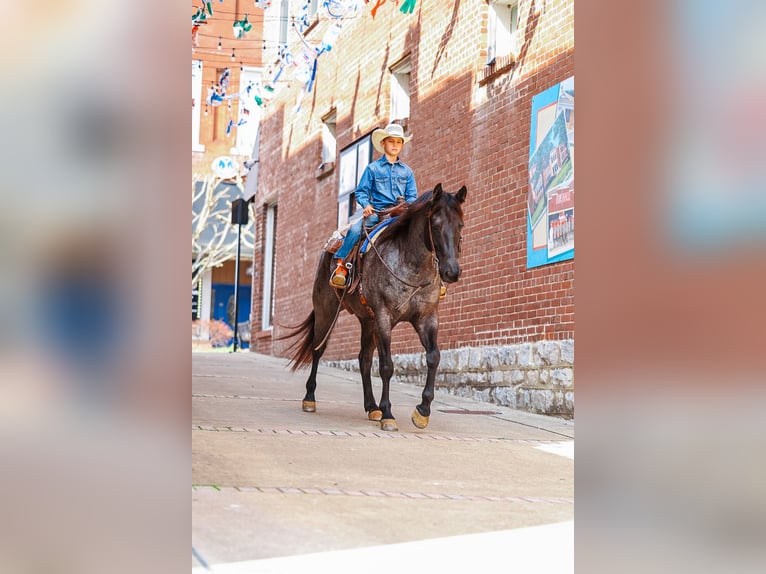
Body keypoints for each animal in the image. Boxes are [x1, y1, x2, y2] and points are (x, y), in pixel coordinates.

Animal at [284, 183, 467, 431]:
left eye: (460, 225)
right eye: (436, 225)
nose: (452, 272)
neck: (411, 265)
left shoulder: (427, 318)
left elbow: (433, 357)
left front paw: (422, 411)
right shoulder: (383, 317)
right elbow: (387, 366)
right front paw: (388, 414)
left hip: (367, 320)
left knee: (364, 359)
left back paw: (371, 407)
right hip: (326, 310)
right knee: (317, 349)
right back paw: (310, 399)